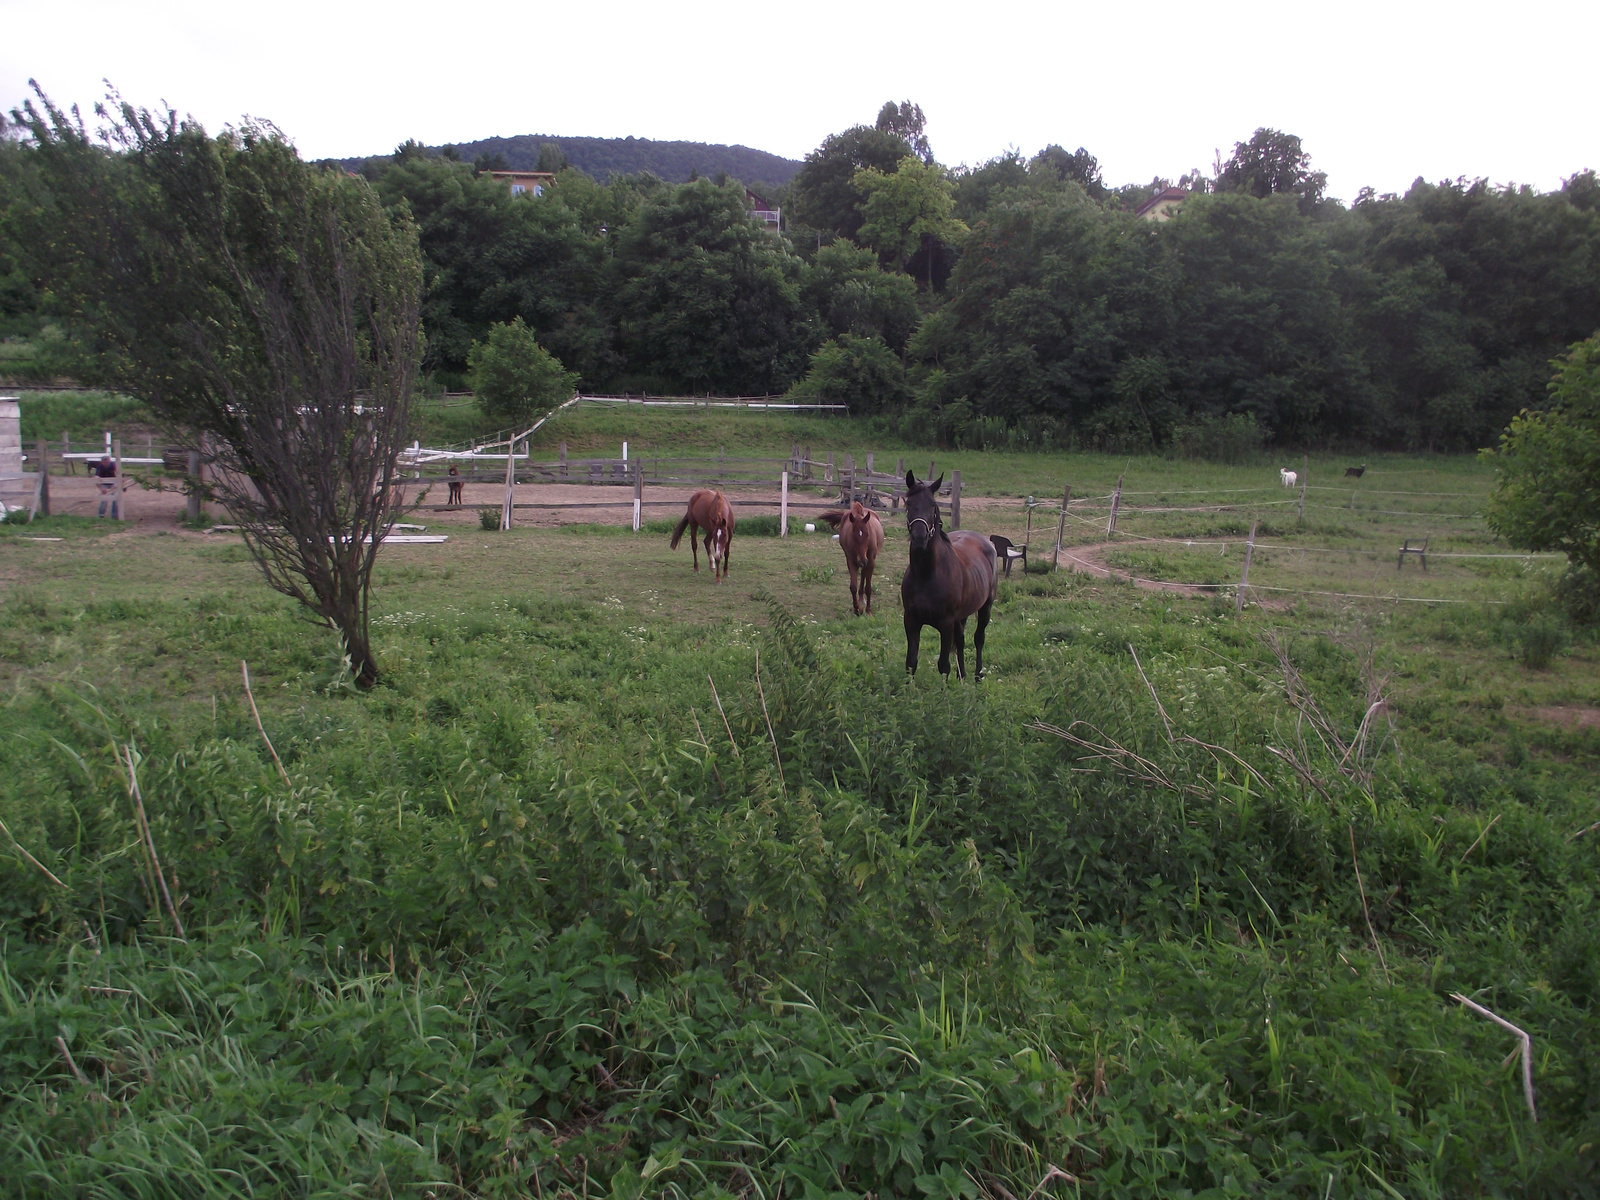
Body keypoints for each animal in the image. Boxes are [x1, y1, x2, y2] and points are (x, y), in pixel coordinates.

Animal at [902, 473, 998, 681]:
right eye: (909, 503)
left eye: (932, 504)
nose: (920, 537)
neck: (926, 575)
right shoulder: (911, 621)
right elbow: (911, 663)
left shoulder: (946, 624)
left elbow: (943, 665)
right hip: (961, 616)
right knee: (961, 641)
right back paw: (962, 676)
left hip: (985, 607)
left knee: (979, 638)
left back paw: (977, 676)